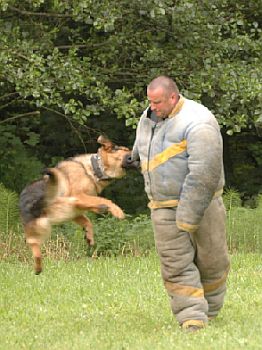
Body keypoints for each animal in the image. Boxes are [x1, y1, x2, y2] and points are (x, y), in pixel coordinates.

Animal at [19, 135, 136, 274]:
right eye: (126, 150)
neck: (94, 168)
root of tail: (38, 204)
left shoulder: (75, 212)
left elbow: (87, 220)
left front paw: (89, 235)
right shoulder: (79, 196)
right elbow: (102, 200)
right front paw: (116, 210)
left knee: (35, 249)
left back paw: (38, 268)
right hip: (66, 203)